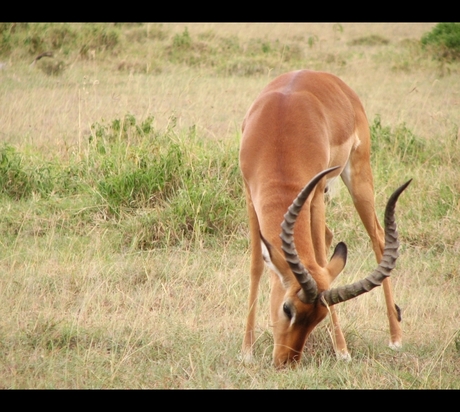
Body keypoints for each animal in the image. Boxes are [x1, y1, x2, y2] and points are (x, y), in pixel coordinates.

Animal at [239, 69, 412, 368]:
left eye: (318, 317)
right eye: (287, 308)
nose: (286, 362)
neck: (278, 139)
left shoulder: (316, 192)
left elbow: (319, 257)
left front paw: (342, 351)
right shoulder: (251, 195)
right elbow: (256, 266)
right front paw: (246, 351)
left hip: (358, 175)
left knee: (378, 238)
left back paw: (395, 338)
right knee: (333, 237)